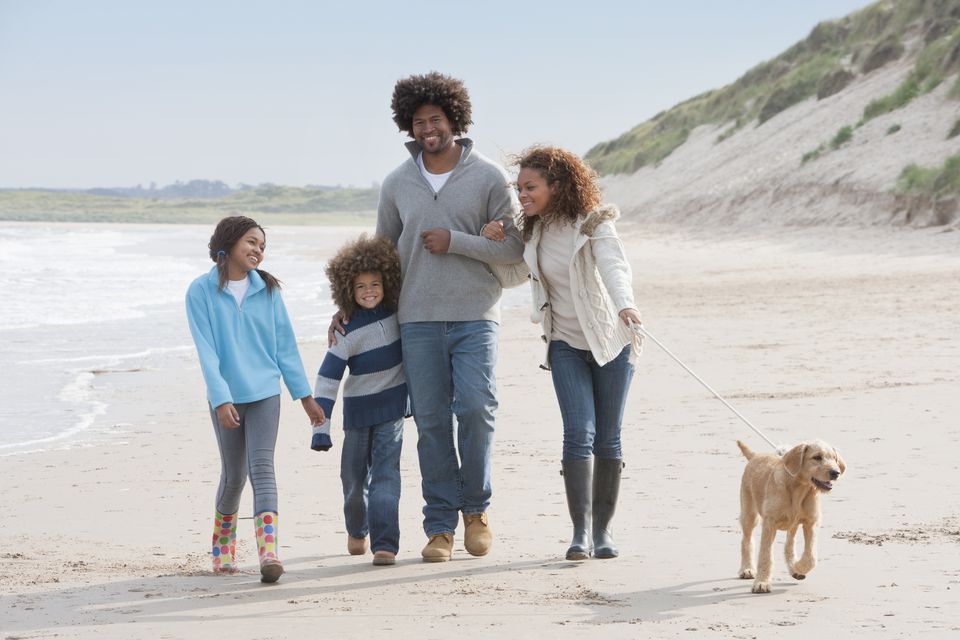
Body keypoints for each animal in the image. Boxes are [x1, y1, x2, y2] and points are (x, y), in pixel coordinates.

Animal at [740, 440, 844, 596]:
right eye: (817, 457)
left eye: (834, 458)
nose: (835, 473)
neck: (799, 489)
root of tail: (755, 455)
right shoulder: (769, 524)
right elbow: (765, 556)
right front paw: (762, 583)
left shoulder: (811, 523)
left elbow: (811, 557)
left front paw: (798, 568)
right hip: (749, 515)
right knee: (746, 540)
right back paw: (746, 569)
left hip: (793, 525)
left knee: (789, 545)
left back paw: (793, 568)